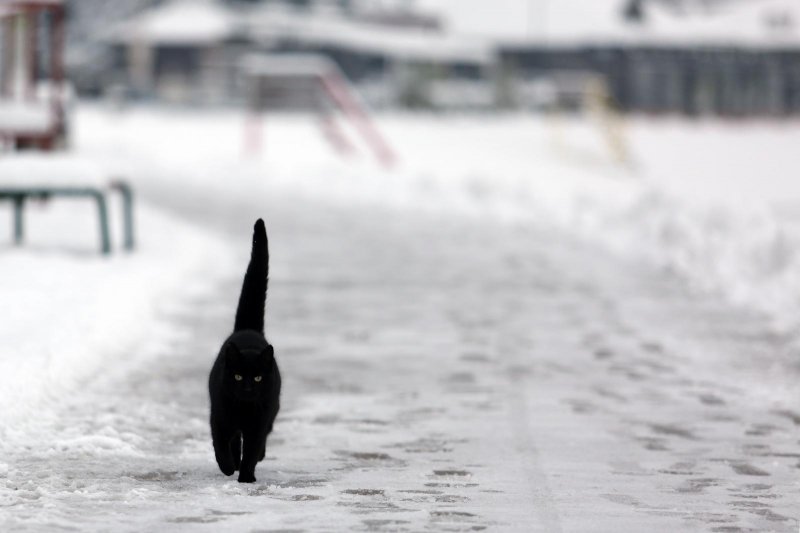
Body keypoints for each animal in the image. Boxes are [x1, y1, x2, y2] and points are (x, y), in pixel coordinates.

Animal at [209, 218, 282, 484]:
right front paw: (229, 468)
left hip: (272, 410)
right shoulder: (219, 418)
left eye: (258, 377)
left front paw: (246, 476)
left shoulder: (259, 423)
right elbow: (221, 446)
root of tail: (248, 330)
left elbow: (252, 449)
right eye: (238, 376)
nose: (249, 388)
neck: (244, 408)